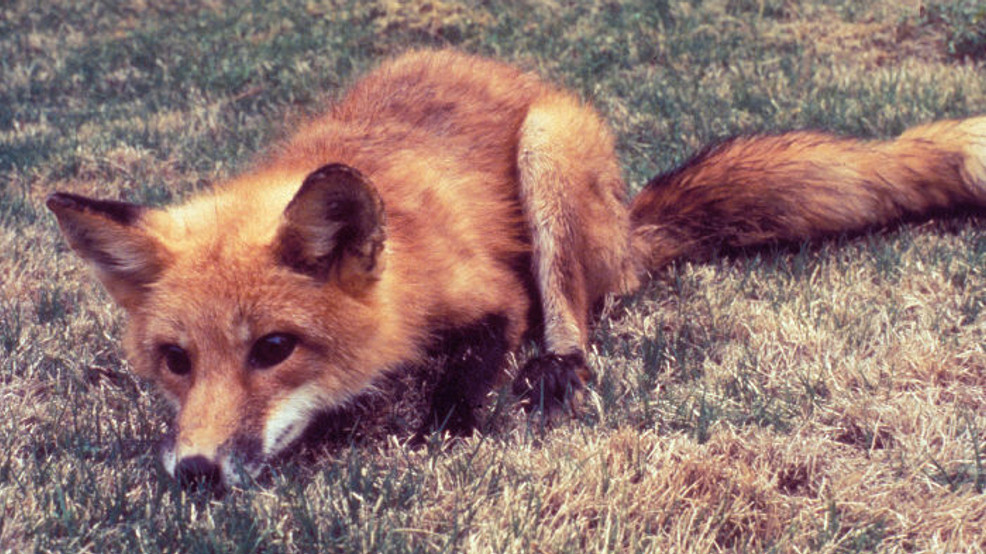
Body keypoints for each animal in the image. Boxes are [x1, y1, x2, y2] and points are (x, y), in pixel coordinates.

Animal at [47, 49, 986, 489]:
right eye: (176, 361)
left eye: (273, 348)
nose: (197, 474)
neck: (407, 263)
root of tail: (630, 224)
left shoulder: (488, 290)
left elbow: (479, 357)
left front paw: (446, 419)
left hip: (548, 154)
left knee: (573, 308)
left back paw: (558, 367)